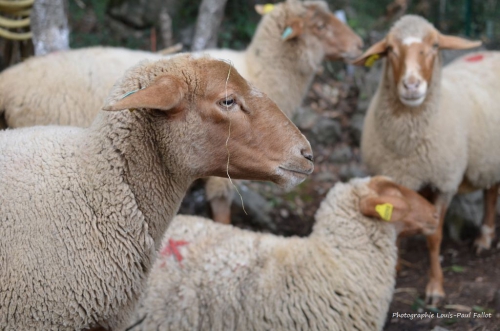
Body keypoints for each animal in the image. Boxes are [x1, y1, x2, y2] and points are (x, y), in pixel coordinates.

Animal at [354, 15, 498, 306]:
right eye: (390, 49)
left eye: (435, 45)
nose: (411, 86)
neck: (408, 145)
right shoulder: (399, 177)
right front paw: (395, 267)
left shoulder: (444, 183)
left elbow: (434, 237)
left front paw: (435, 288)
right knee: (491, 189)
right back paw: (485, 237)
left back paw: (484, 237)